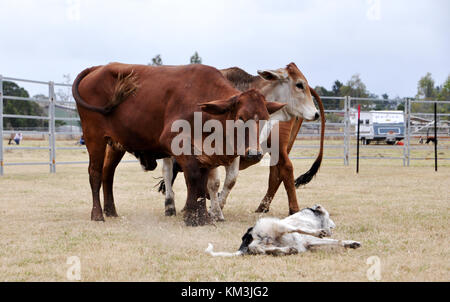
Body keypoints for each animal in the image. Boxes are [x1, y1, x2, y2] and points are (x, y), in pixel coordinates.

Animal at [73, 62, 284, 225]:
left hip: (116, 144)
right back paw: (98, 215)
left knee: (108, 173)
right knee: (95, 173)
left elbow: (204, 181)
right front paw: (193, 216)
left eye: (265, 118)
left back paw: (111, 211)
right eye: (240, 118)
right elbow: (194, 175)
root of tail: (97, 68)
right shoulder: (175, 141)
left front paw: (202, 215)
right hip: (94, 137)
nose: (254, 153)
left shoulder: (205, 153)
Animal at [206, 204, 360, 256]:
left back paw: (287, 250)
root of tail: (248, 237)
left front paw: (352, 244)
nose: (334, 225)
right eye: (329, 216)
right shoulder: (310, 240)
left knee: (265, 250)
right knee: (297, 229)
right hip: (279, 225)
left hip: (263, 244)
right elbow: (334, 240)